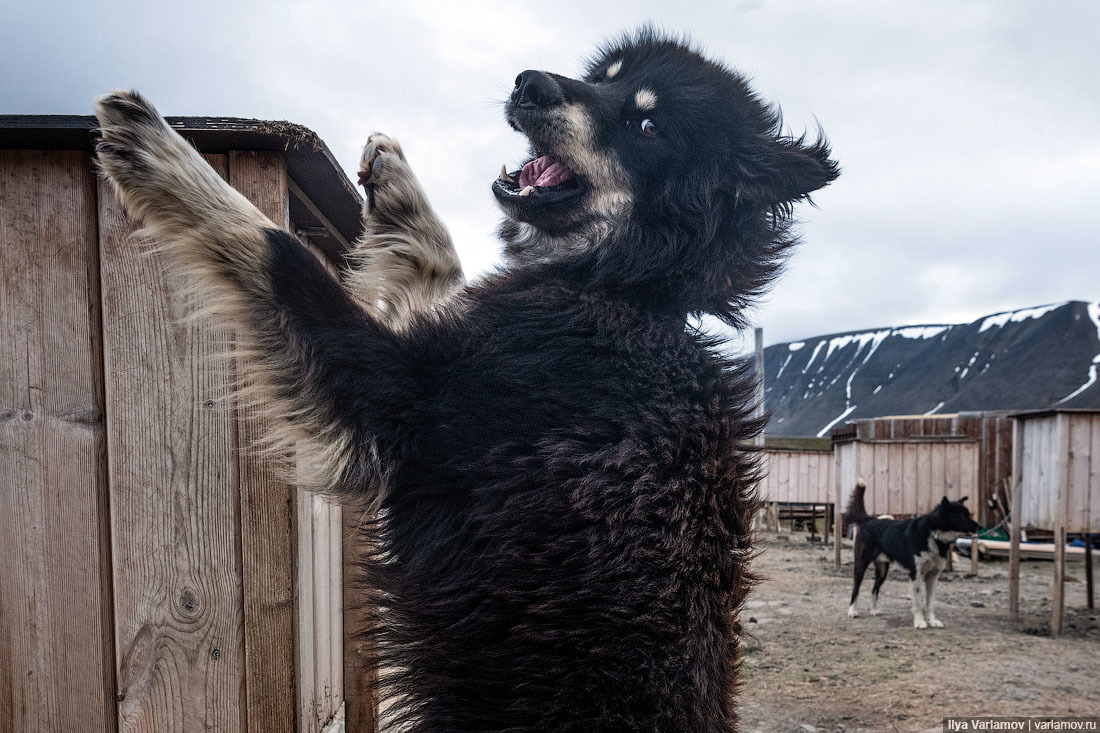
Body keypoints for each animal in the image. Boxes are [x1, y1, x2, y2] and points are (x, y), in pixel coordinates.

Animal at [94, 27, 836, 726]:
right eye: (606, 77)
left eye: (649, 127)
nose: (531, 83)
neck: (626, 291)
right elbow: (438, 261)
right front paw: (398, 191)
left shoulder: (401, 393)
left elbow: (276, 251)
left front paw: (161, 153)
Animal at [840, 479, 981, 629]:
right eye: (961, 516)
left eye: (968, 514)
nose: (979, 527)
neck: (933, 534)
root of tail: (870, 520)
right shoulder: (916, 575)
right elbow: (918, 602)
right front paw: (920, 622)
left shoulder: (933, 576)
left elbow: (930, 602)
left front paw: (932, 621)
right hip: (860, 565)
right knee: (856, 589)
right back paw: (852, 611)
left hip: (882, 570)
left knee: (875, 589)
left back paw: (874, 610)